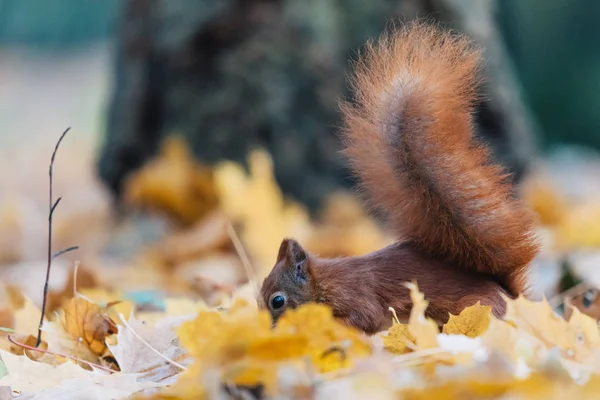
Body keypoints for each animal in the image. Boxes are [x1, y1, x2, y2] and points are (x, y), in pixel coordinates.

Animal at [258, 21, 540, 334]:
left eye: (278, 301)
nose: (268, 330)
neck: (326, 283)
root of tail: (513, 300)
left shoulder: (357, 297)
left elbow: (365, 320)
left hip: (474, 310)